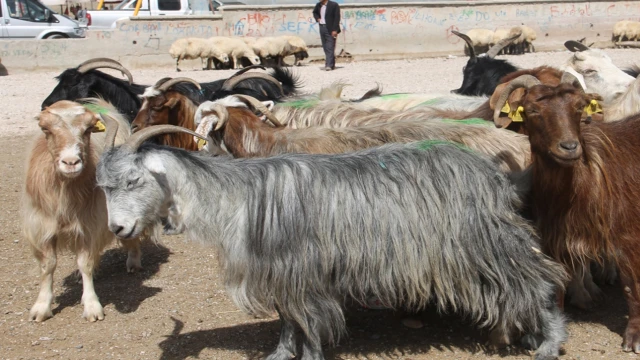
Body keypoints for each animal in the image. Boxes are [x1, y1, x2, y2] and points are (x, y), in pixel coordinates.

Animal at [24, 99, 143, 324]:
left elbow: (85, 262)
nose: (71, 162)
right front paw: (41, 308)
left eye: (88, 129)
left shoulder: (90, 225)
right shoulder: (43, 227)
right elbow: (48, 265)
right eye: (46, 129)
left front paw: (92, 306)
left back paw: (133, 262)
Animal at [94, 121, 564, 360]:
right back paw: (515, 336)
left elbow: (309, 326)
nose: (118, 230)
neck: (237, 198)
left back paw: (548, 342)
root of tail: (496, 176)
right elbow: (287, 322)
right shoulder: (284, 276)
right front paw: (280, 355)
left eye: (134, 180)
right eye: (102, 188)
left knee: (541, 282)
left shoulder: (303, 274)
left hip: (487, 245)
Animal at [492, 71, 640, 354]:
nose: (569, 147)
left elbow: (631, 287)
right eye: (532, 110)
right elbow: (557, 288)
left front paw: (634, 338)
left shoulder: (627, 237)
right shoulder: (554, 239)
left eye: (578, 107)